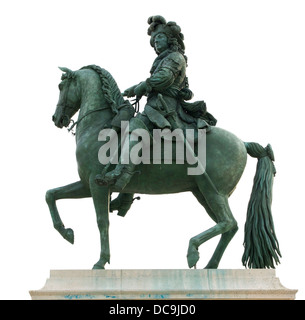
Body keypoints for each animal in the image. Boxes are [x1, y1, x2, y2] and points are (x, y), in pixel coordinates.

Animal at [48, 63, 280, 268]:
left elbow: (102, 221)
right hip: (203, 193)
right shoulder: (86, 184)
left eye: (60, 86)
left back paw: (193, 250)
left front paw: (101, 261)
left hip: (213, 191)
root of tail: (243, 143)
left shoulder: (97, 186)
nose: (56, 118)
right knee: (230, 227)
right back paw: (210, 266)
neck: (101, 126)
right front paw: (66, 232)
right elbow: (51, 194)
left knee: (228, 223)